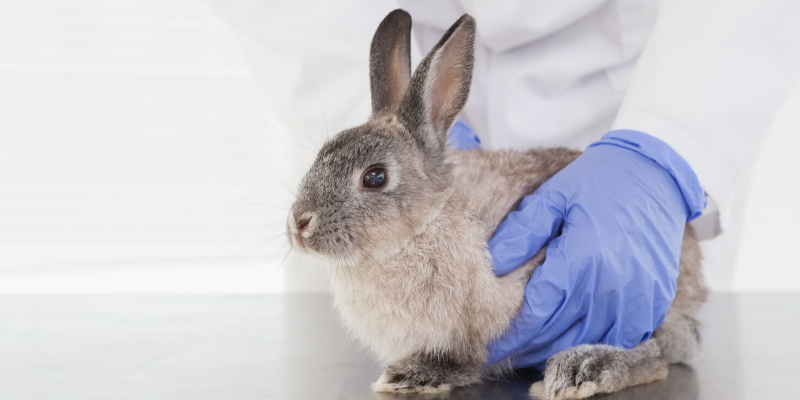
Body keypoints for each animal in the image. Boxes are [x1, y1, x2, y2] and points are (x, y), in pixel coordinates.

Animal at [286, 9, 706, 400]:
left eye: (375, 177)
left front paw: (414, 376)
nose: (299, 225)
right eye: (322, 153)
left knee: (656, 354)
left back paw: (581, 370)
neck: (424, 225)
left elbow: (464, 362)